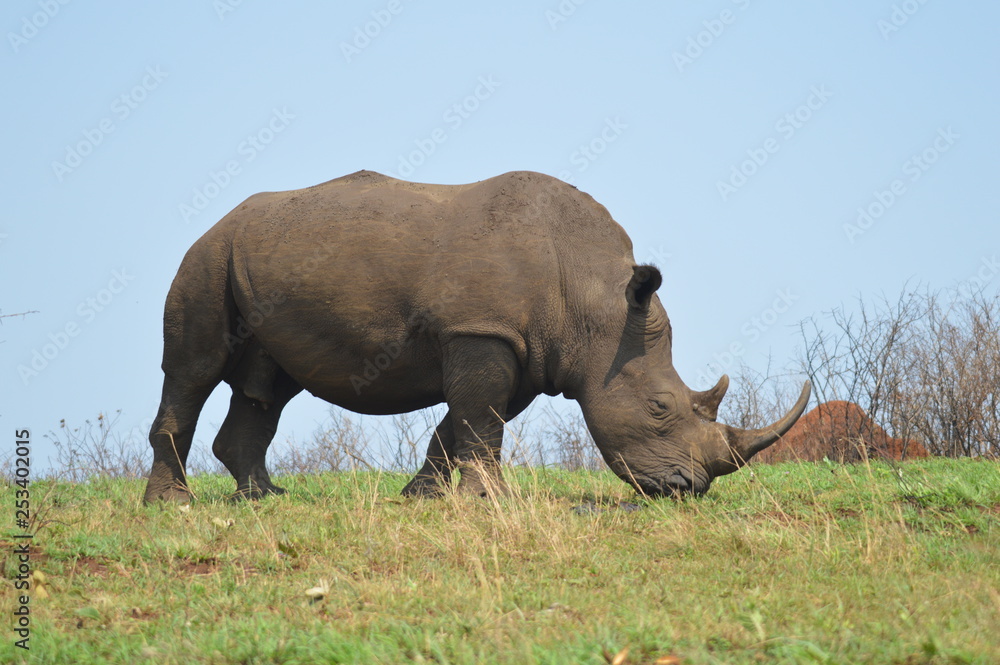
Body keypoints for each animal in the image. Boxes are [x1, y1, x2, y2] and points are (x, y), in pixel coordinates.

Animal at [143, 170, 810, 504]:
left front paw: (423, 497)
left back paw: (263, 497)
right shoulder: (481, 332)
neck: (595, 302)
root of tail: (221, 219)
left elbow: (466, 422)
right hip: (208, 255)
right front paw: (492, 503)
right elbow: (480, 420)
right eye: (658, 407)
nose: (687, 489)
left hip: (258, 256)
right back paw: (173, 506)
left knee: (268, 386)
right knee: (194, 370)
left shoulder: (528, 349)